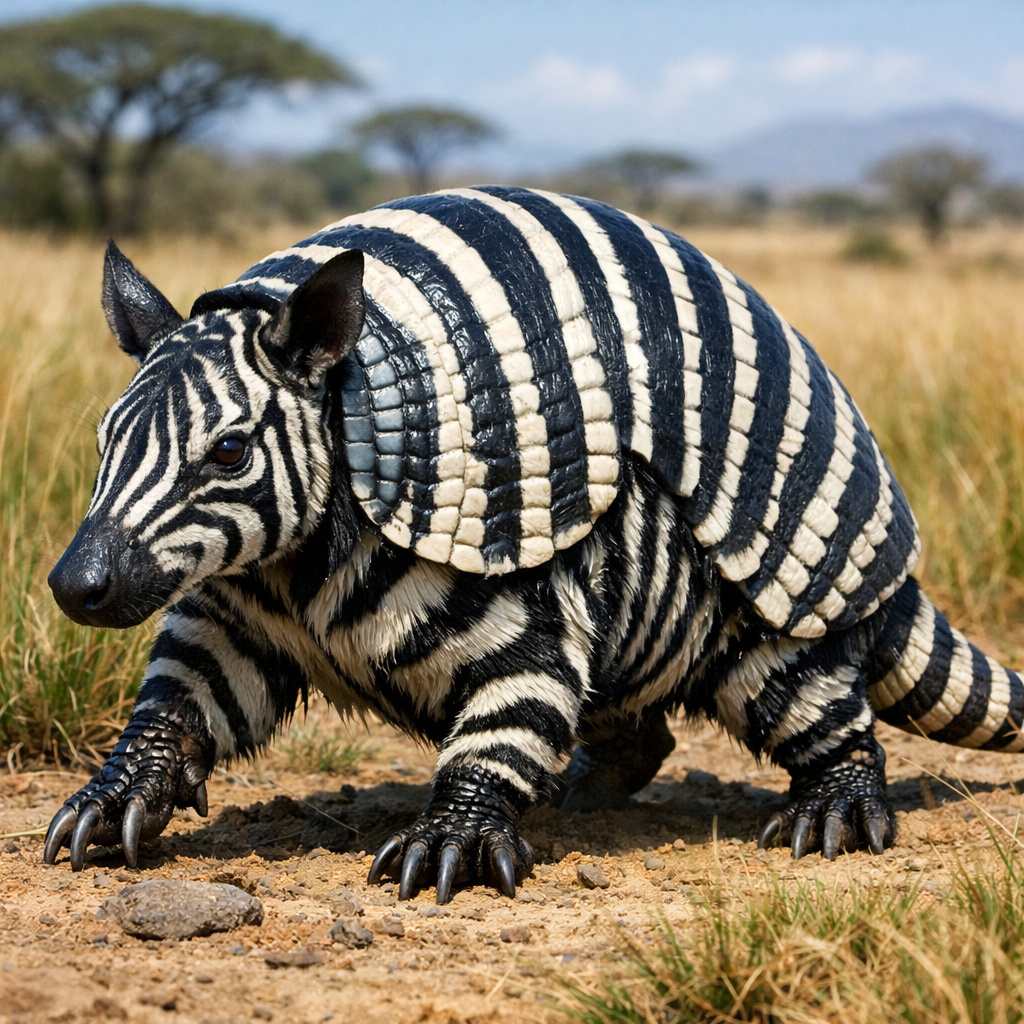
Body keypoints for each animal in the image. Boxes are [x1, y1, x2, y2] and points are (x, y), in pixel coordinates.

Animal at [44, 186, 1024, 905]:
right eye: (101, 442)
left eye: (231, 451)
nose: (72, 589)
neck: (300, 560)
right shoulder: (233, 616)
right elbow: (178, 707)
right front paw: (112, 801)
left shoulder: (512, 568)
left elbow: (505, 715)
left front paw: (451, 844)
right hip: (637, 624)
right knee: (639, 727)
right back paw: (574, 790)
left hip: (781, 592)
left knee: (828, 714)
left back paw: (835, 819)